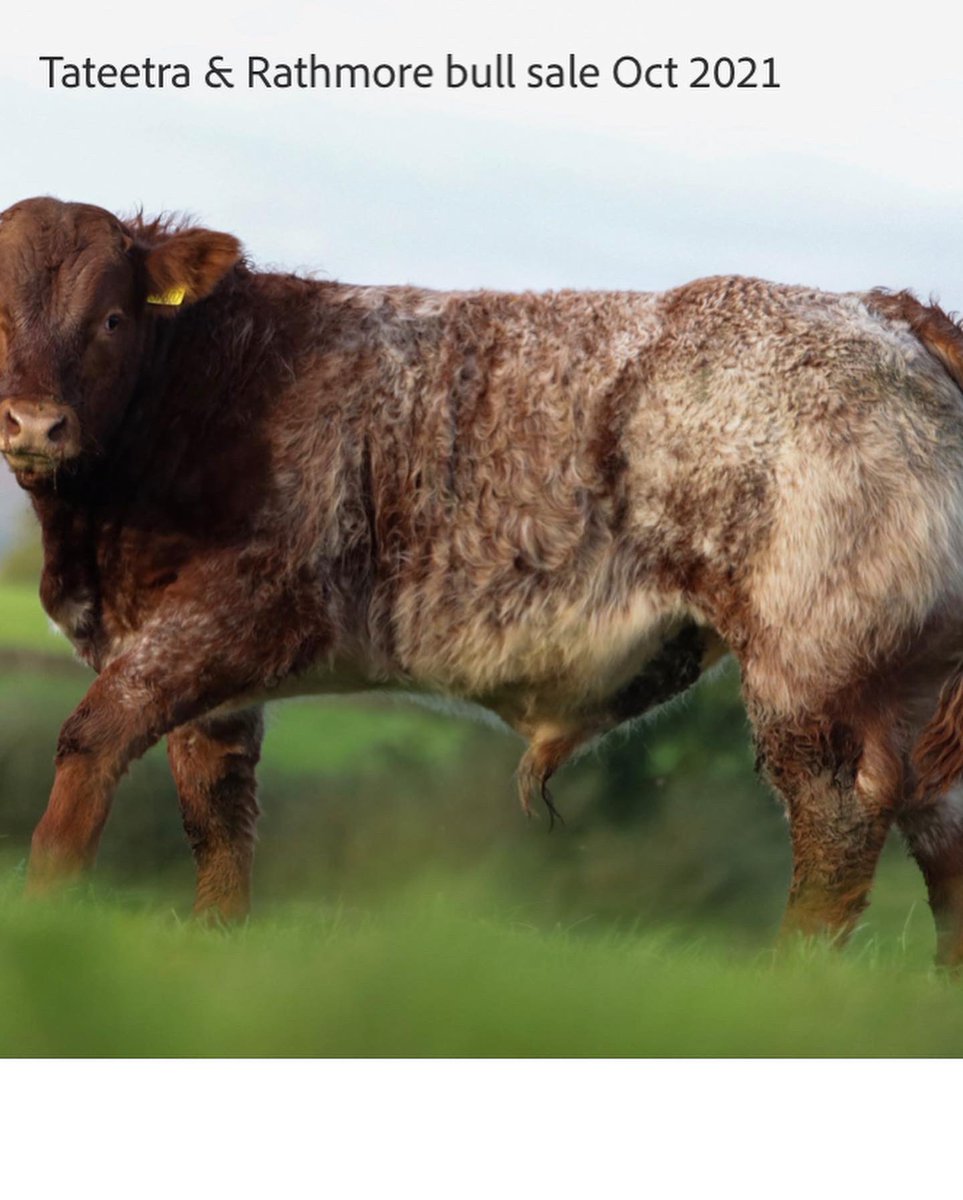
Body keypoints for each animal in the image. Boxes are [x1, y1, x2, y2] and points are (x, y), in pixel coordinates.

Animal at [4, 197, 963, 962]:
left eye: (113, 318)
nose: (35, 424)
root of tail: (879, 307)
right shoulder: (206, 674)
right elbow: (218, 811)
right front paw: (214, 944)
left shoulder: (239, 607)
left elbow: (92, 740)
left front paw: (45, 922)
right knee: (938, 822)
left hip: (808, 660)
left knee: (838, 820)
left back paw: (787, 985)